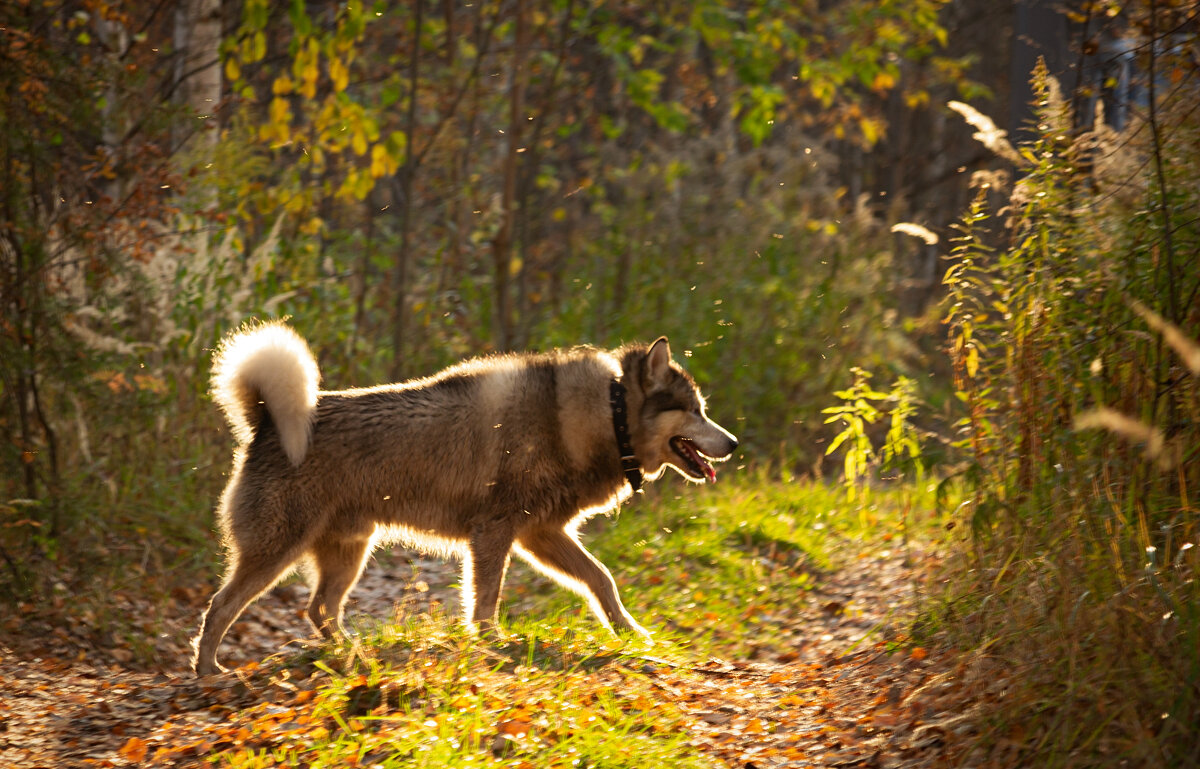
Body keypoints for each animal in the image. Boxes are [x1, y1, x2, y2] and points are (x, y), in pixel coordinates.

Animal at [188, 321, 734, 676]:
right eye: (695, 411)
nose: (732, 443)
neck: (606, 413)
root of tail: (265, 420)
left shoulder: (541, 535)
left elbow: (602, 580)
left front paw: (630, 633)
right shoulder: (495, 534)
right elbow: (487, 599)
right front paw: (492, 643)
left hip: (348, 553)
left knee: (319, 610)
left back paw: (354, 655)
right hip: (276, 552)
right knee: (221, 605)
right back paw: (209, 669)